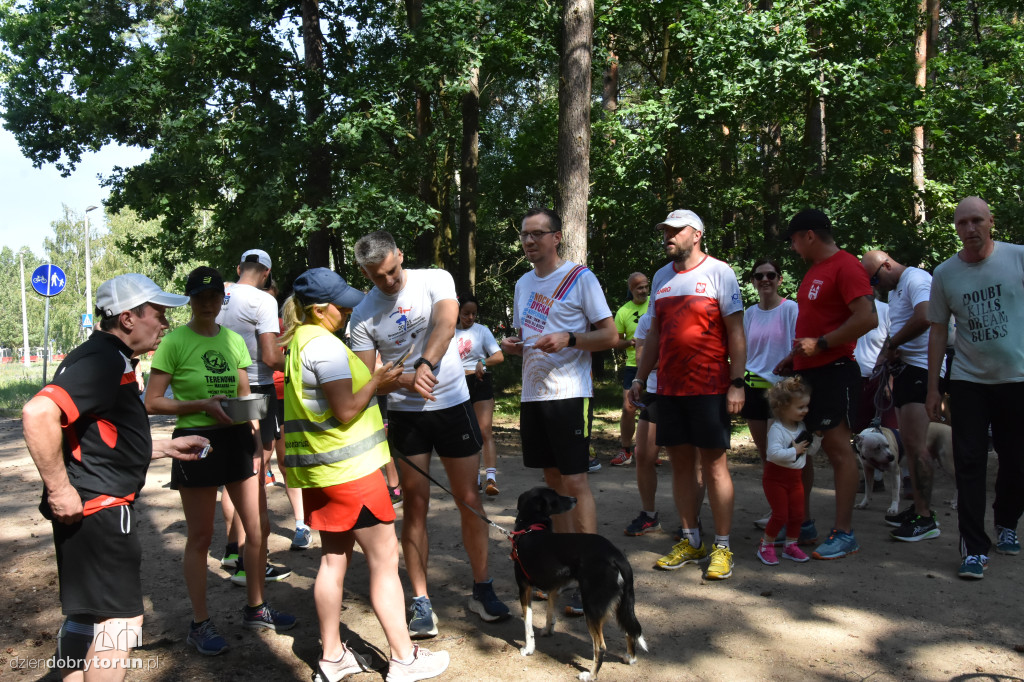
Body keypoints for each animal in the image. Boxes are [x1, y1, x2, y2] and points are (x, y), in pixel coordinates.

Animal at [512, 485, 647, 675]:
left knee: (600, 646)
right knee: (630, 630)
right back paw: (630, 658)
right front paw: (547, 630)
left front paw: (528, 648)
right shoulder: (553, 588)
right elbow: (549, 613)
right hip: (623, 605)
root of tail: (616, 555)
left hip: (592, 606)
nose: (574, 499)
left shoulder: (524, 588)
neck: (531, 527)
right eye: (555, 497)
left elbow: (527, 623)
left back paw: (590, 675)